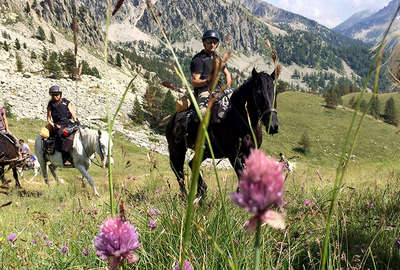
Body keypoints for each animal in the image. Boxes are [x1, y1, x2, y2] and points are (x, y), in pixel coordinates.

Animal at [166, 68, 278, 197]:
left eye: (275, 92)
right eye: (259, 92)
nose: (273, 126)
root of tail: (172, 119)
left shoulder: (249, 153)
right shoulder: (233, 155)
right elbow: (242, 176)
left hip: (204, 152)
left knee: (191, 164)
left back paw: (201, 192)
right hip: (176, 149)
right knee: (178, 171)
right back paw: (187, 196)